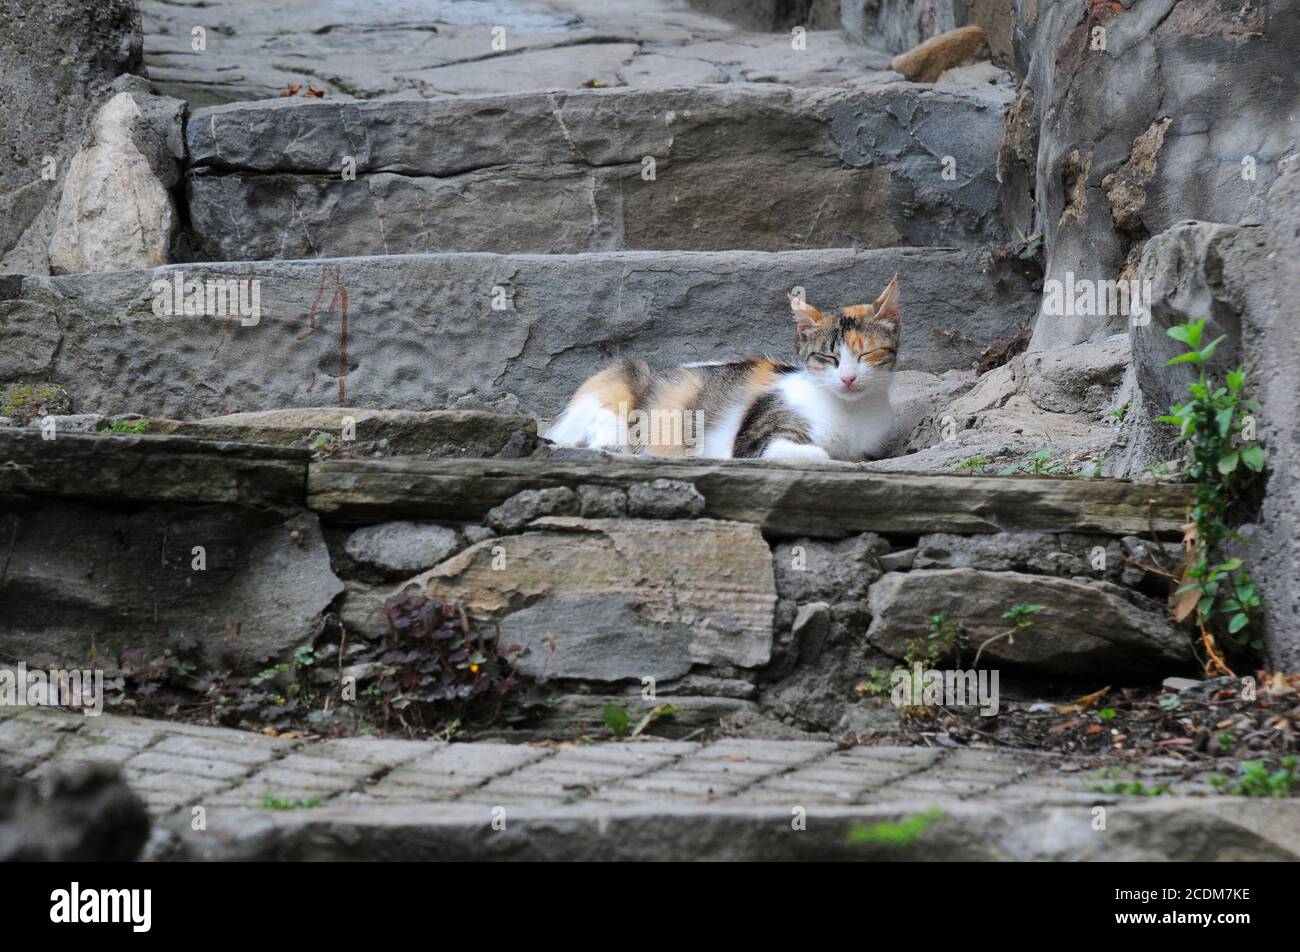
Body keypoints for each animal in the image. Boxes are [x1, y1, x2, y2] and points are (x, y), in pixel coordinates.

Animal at [543, 271, 899, 460]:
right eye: (828, 358)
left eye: (866, 354)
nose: (848, 378)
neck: (851, 412)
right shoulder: (755, 443)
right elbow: (818, 453)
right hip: (626, 378)